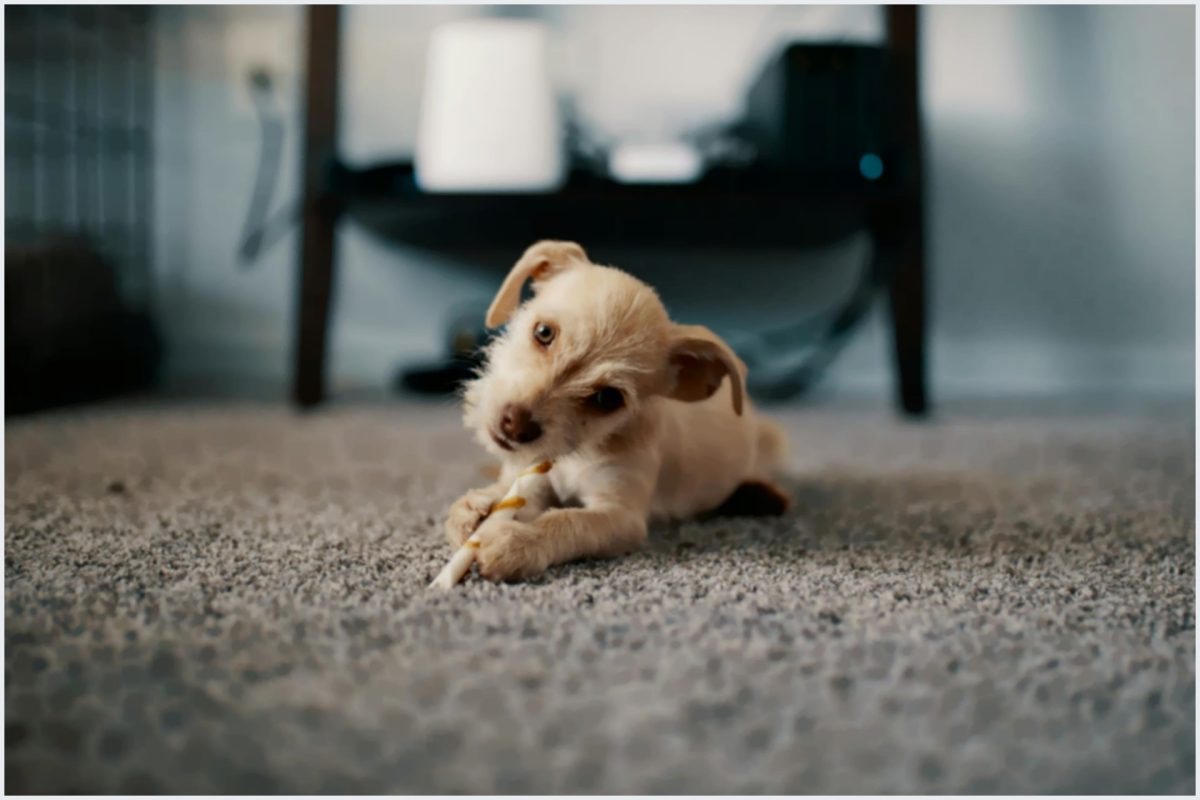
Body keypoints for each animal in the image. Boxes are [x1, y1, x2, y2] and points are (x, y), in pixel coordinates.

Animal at [446, 239, 792, 582]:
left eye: (608, 399)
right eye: (543, 332)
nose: (515, 426)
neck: (579, 452)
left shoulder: (621, 516)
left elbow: (568, 522)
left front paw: (518, 541)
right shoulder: (532, 479)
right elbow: (508, 494)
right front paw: (477, 507)